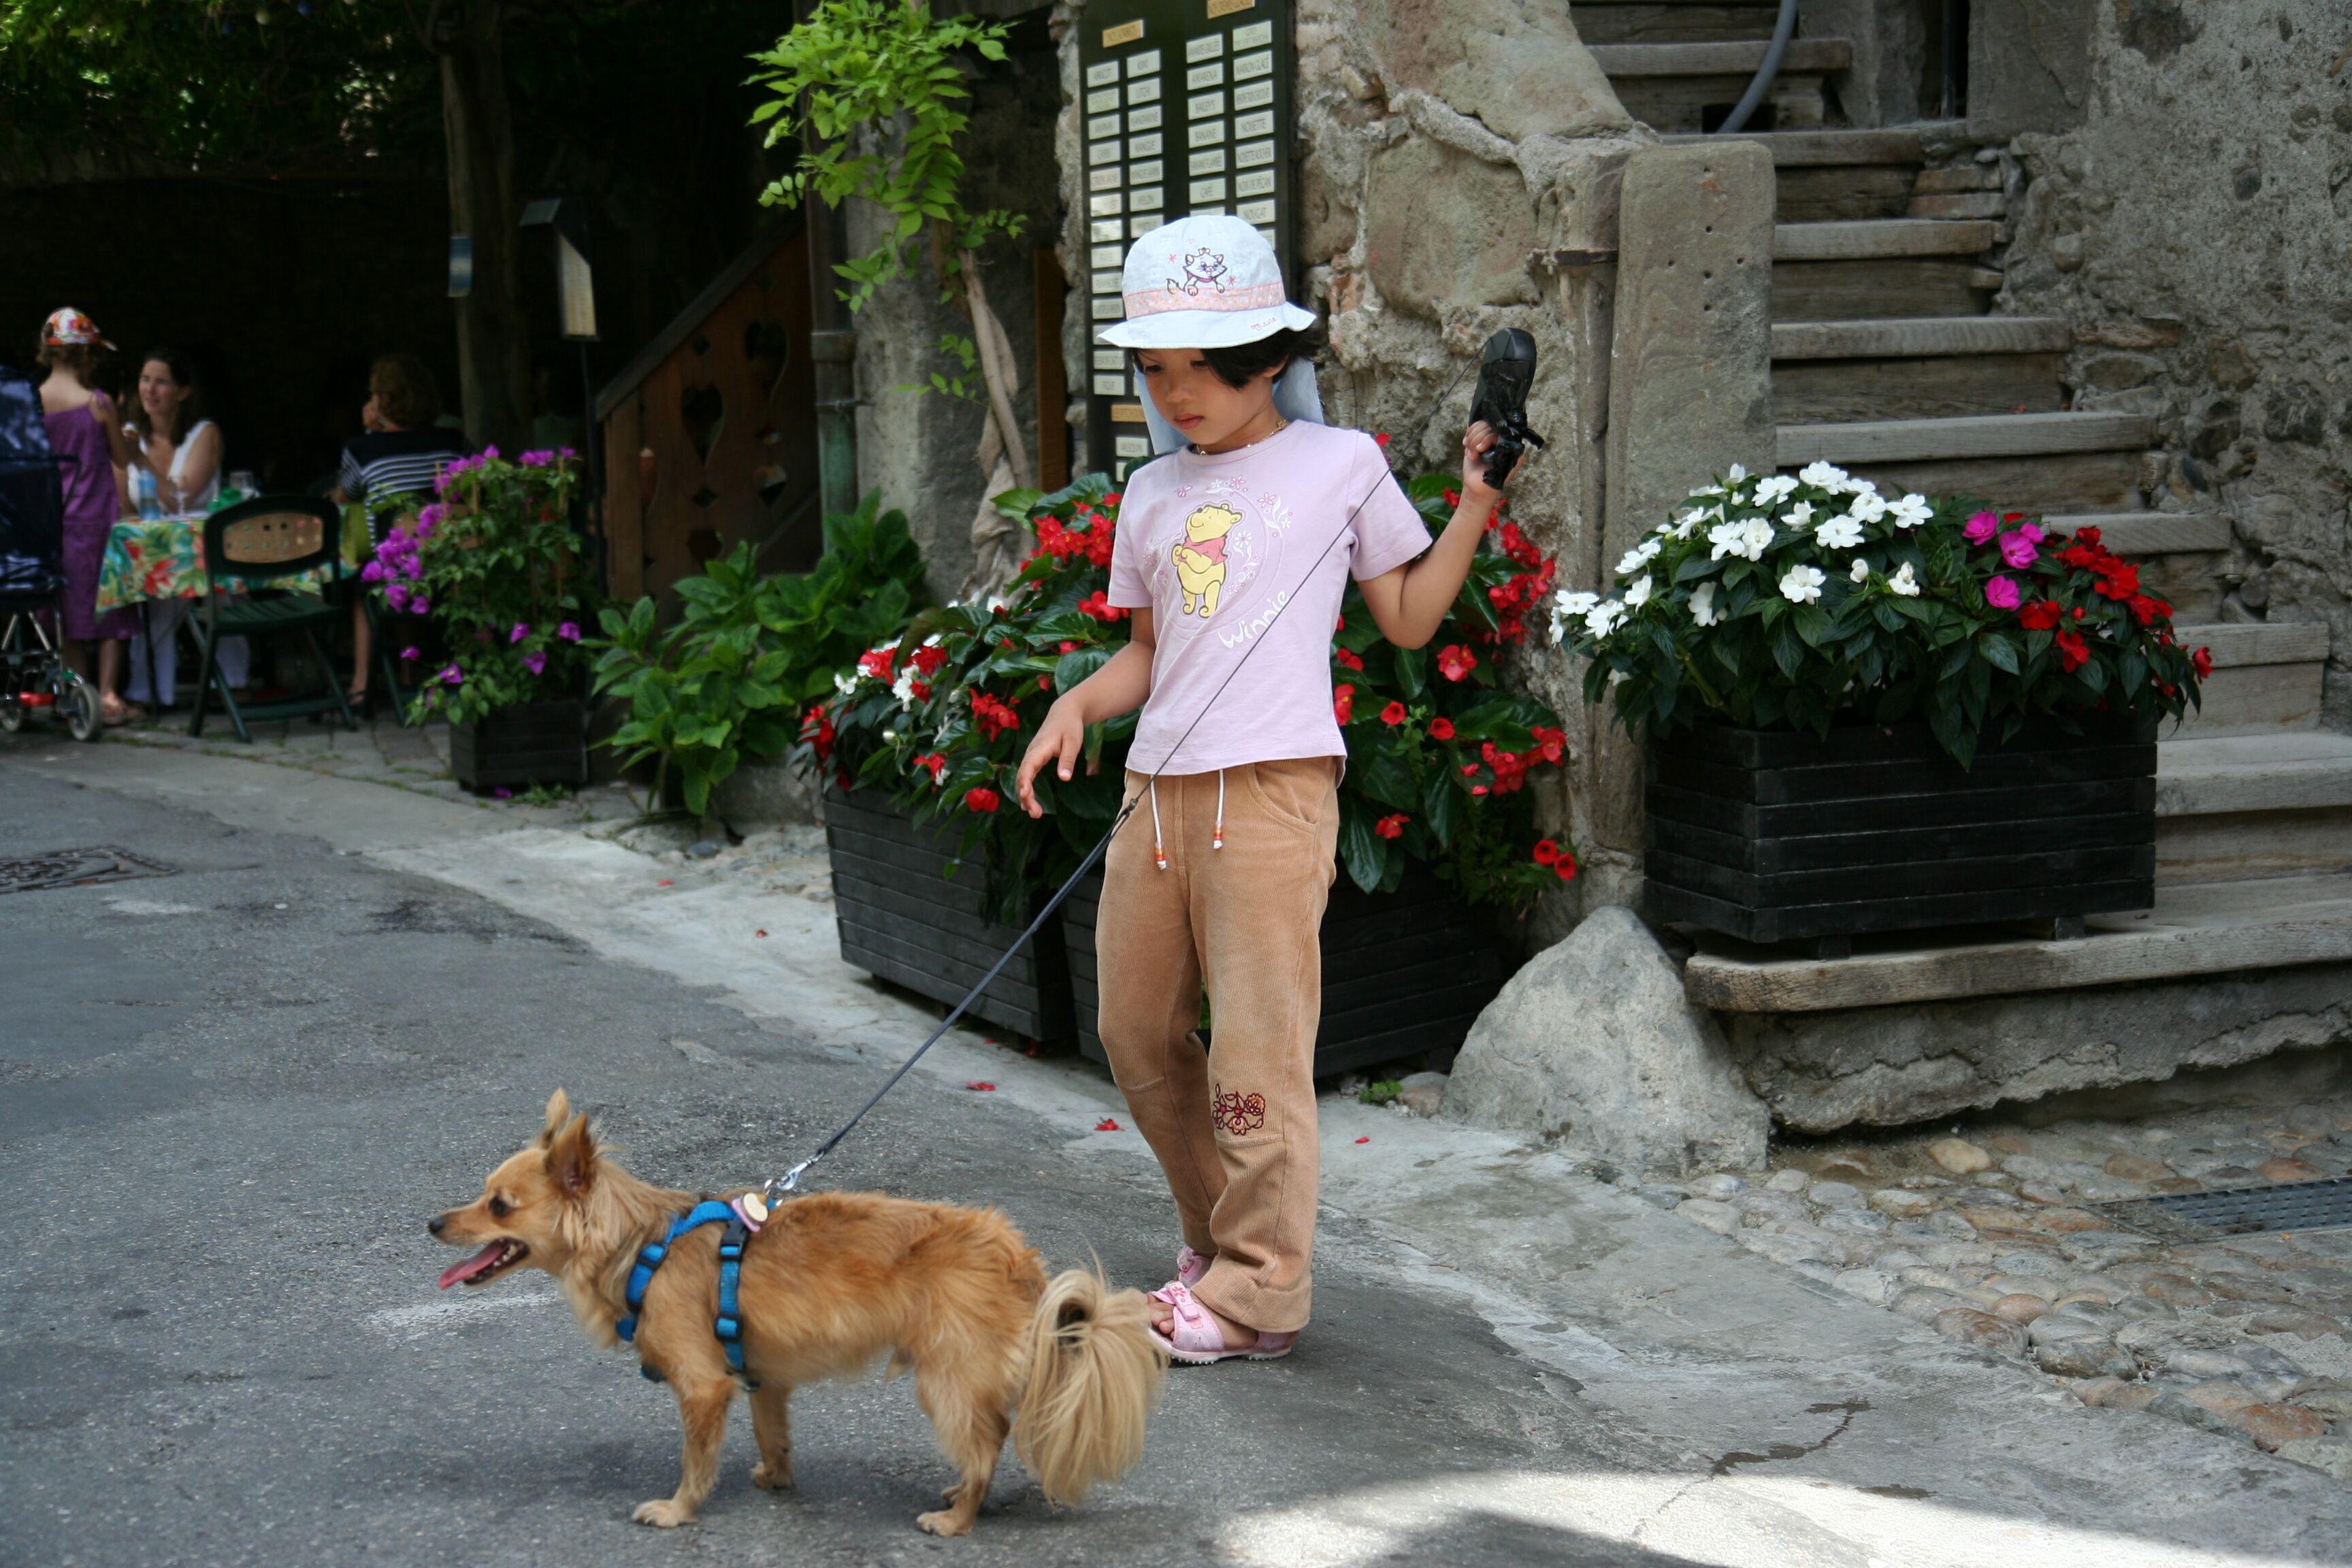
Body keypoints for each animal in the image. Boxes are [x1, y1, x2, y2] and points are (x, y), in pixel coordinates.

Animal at [430, 1090, 1166, 1533]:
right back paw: (959, 1496)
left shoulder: (703, 1389)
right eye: (484, 1195)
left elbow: (696, 1461)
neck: (640, 1245)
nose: (433, 1223)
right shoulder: (763, 1378)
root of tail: (1019, 1259)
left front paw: (678, 1509)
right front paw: (777, 1478)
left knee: (987, 1446)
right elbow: (772, 1434)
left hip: (945, 1383)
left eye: (500, 1206)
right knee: (988, 1437)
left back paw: (959, 1518)